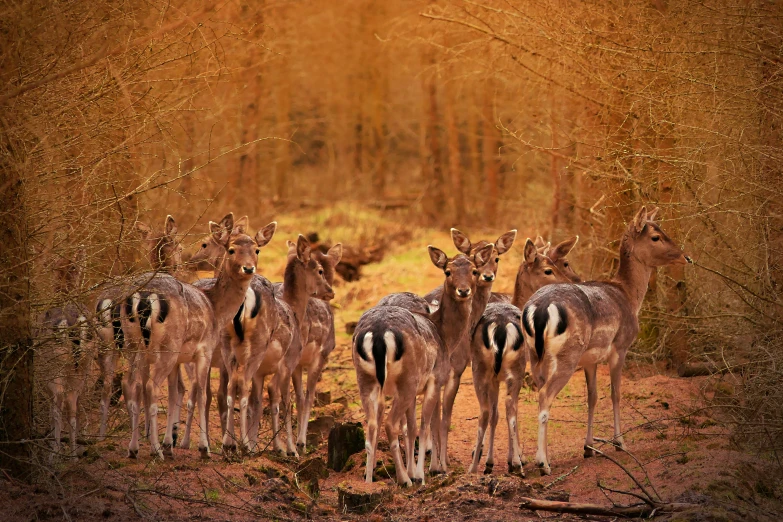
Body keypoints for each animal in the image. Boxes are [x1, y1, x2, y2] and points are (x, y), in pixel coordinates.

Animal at [120, 210, 260, 456]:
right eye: (231, 249)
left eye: (256, 249)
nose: (249, 268)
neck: (215, 308)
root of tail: (144, 298)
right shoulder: (203, 351)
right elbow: (202, 394)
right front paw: (203, 448)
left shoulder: (180, 360)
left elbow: (177, 392)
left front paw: (171, 442)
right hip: (168, 346)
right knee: (151, 387)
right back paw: (156, 450)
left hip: (133, 345)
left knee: (133, 385)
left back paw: (135, 448)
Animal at [356, 242, 496, 486]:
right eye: (447, 271)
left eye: (473, 270)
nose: (463, 291)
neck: (445, 335)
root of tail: (379, 333)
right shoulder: (435, 379)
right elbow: (425, 424)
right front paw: (423, 473)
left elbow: (413, 426)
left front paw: (418, 470)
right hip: (406, 380)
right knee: (390, 423)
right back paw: (404, 479)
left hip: (365, 378)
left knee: (372, 424)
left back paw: (369, 480)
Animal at [466, 238, 576, 474]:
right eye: (548, 269)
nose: (570, 283)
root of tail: (499, 329)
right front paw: (516, 458)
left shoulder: (494, 378)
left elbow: (495, 414)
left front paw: (490, 460)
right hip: (513, 370)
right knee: (510, 406)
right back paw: (516, 463)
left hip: (480, 369)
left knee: (486, 410)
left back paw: (474, 466)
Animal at [524, 205, 688, 474]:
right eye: (656, 236)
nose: (685, 257)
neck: (630, 296)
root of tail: (537, 310)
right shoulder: (620, 347)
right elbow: (615, 393)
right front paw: (620, 442)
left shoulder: (590, 359)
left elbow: (592, 397)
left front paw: (589, 447)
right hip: (568, 354)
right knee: (545, 395)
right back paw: (543, 463)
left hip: (534, 354)